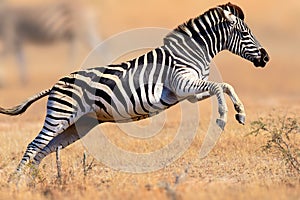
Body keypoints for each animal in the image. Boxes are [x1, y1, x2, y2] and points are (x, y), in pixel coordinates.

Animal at [0, 3, 270, 177]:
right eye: (245, 33)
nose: (266, 58)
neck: (192, 53)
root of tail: (55, 85)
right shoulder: (182, 83)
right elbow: (220, 86)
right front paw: (224, 116)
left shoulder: (189, 93)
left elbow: (223, 86)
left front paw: (240, 113)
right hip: (59, 117)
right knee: (33, 146)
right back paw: (18, 183)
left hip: (76, 126)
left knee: (43, 150)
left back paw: (35, 183)